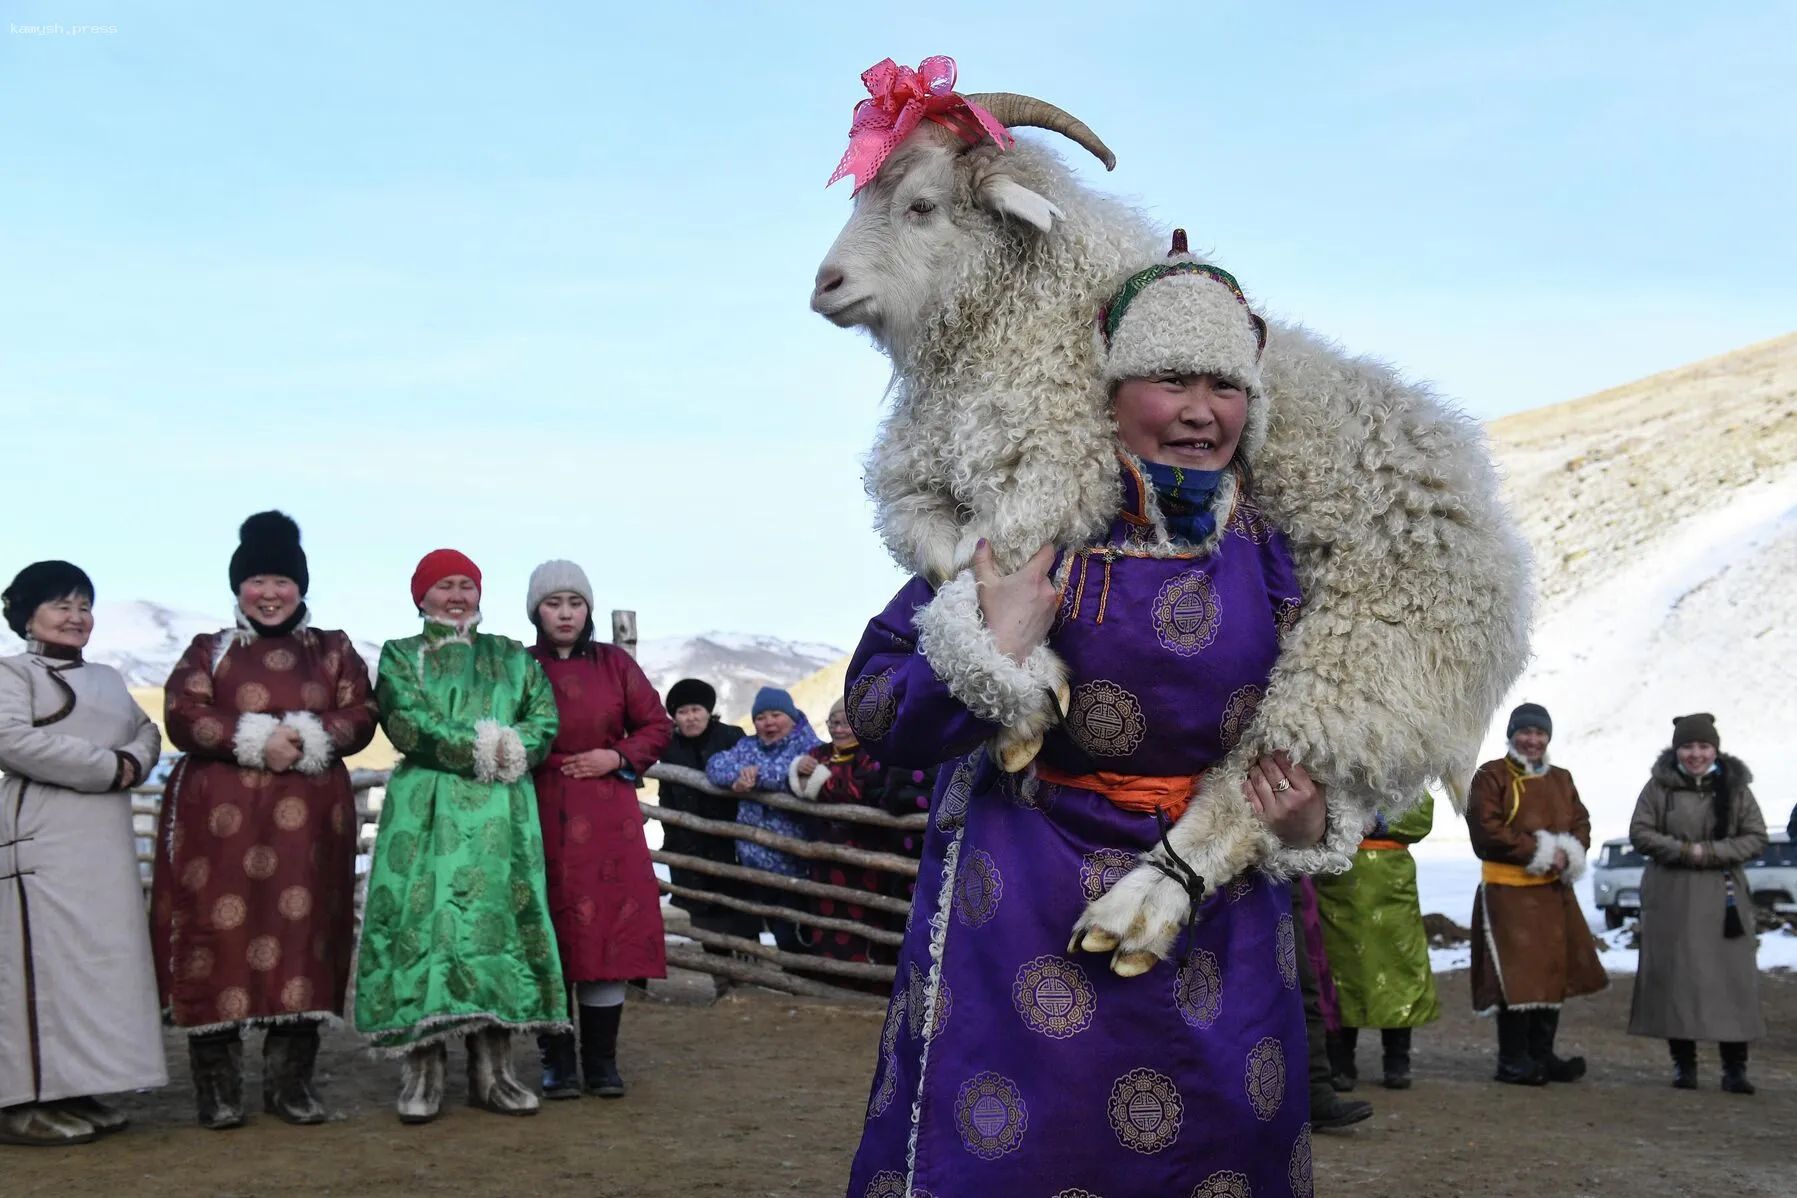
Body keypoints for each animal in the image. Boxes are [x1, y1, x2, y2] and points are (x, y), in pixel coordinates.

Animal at [815, 91, 1531, 977]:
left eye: (921, 206)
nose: (825, 284)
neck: (1028, 315)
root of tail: (1496, 547)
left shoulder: (1051, 467)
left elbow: (987, 565)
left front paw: (1020, 702)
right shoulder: (921, 480)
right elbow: (946, 562)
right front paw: (1021, 675)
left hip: (1368, 656)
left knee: (1249, 792)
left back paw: (1139, 907)